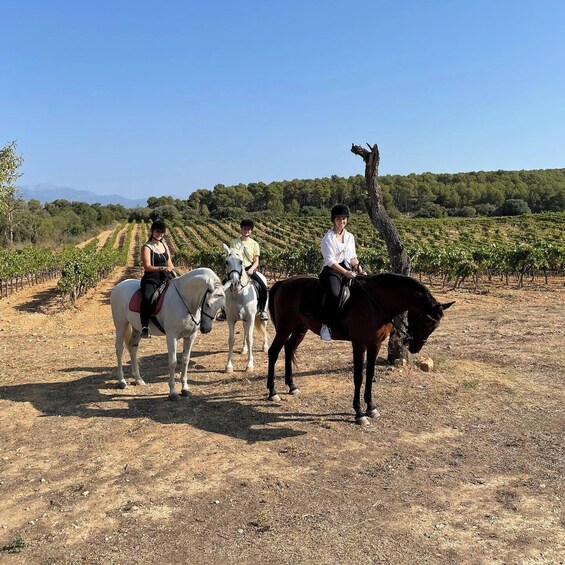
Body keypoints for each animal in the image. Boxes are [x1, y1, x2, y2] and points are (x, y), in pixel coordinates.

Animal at [109, 266, 226, 398]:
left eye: (220, 306)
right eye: (207, 303)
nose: (206, 329)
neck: (184, 299)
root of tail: (120, 285)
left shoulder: (190, 336)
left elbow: (185, 360)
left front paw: (185, 388)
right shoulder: (171, 336)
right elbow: (173, 361)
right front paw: (173, 392)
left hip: (137, 329)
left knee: (133, 348)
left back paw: (139, 379)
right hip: (121, 325)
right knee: (119, 349)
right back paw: (122, 381)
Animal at [223, 240, 268, 372]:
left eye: (241, 261)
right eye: (226, 262)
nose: (235, 282)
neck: (238, 293)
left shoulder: (252, 318)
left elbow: (250, 339)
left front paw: (249, 365)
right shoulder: (230, 319)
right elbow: (231, 340)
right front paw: (229, 366)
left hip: (260, 315)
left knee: (263, 326)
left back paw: (265, 347)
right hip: (244, 319)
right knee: (244, 330)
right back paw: (244, 349)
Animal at [266, 272, 454, 424]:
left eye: (435, 325)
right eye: (427, 321)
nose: (415, 347)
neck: (376, 302)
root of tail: (284, 283)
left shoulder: (375, 344)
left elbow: (369, 375)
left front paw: (371, 407)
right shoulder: (359, 344)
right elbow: (358, 377)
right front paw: (359, 413)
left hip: (300, 328)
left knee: (289, 349)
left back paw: (292, 386)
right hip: (285, 328)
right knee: (273, 352)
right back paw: (272, 392)